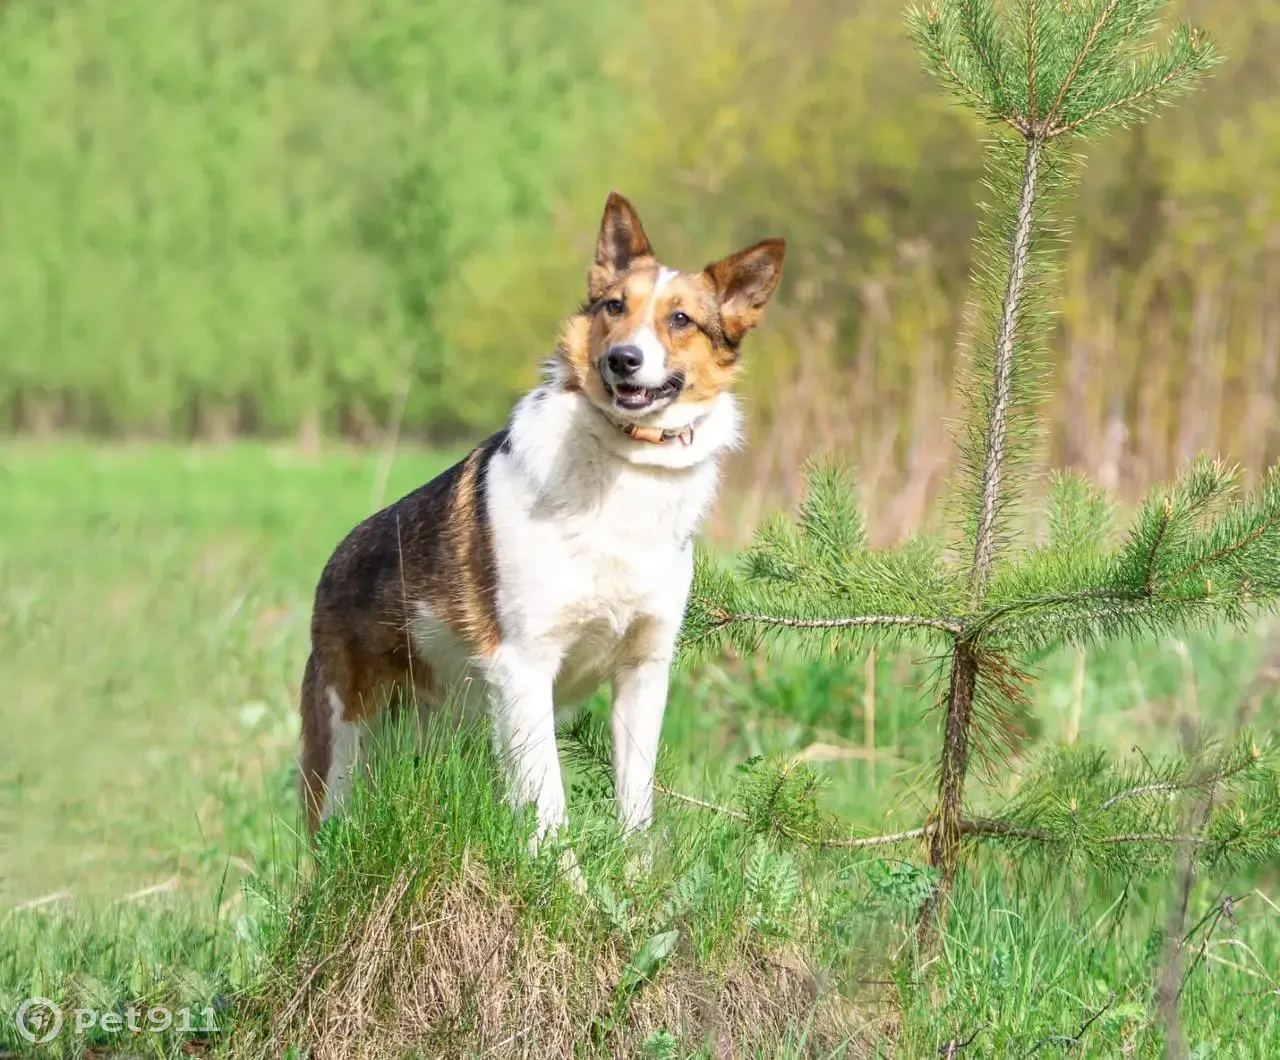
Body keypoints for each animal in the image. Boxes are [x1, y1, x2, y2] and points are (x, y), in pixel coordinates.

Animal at [299, 190, 783, 850]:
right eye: (614, 307)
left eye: (680, 319)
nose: (623, 359)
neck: (625, 465)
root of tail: (334, 562)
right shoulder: (524, 668)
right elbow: (550, 812)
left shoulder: (643, 673)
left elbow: (635, 812)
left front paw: (631, 877)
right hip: (345, 749)